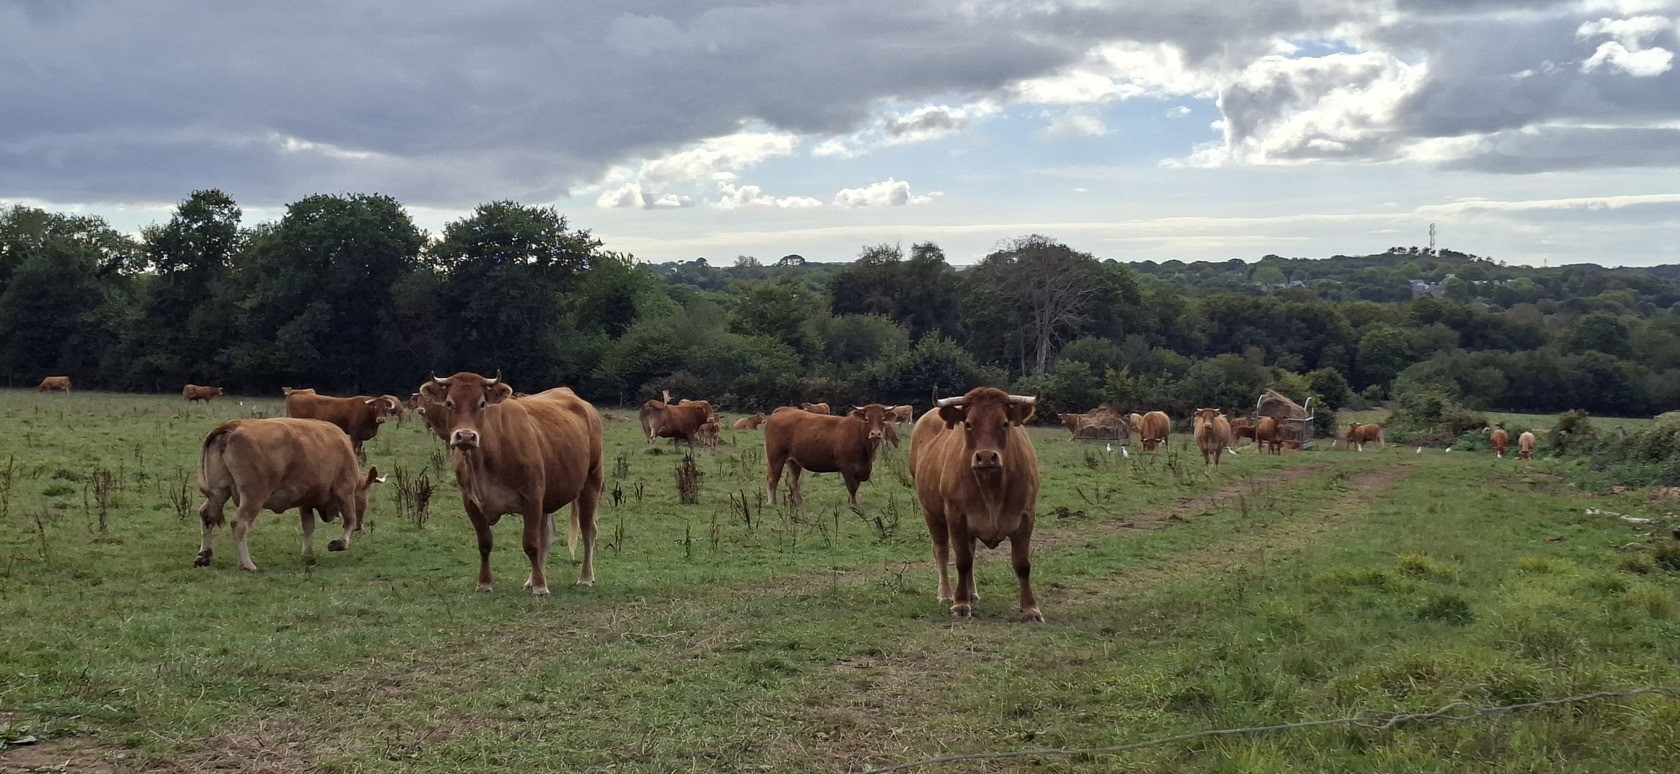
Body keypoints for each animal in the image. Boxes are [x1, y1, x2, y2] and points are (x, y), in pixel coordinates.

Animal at [194, 418, 383, 571]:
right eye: (364, 499)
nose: (361, 527)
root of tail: (232, 426)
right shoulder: (345, 491)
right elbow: (349, 520)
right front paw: (340, 543)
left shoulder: (306, 501)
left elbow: (308, 527)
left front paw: (308, 555)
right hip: (253, 497)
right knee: (239, 524)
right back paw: (247, 564)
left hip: (219, 491)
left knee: (207, 515)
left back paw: (204, 555)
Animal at [419, 371, 603, 595]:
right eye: (449, 403)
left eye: (482, 404)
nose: (466, 436)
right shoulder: (470, 502)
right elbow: (485, 543)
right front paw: (485, 582)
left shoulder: (532, 497)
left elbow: (531, 544)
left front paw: (540, 586)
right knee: (548, 535)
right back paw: (532, 578)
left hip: (591, 481)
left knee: (588, 530)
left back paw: (585, 577)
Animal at [764, 404, 892, 506]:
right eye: (866, 419)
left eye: (883, 419)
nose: (876, 433)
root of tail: (783, 410)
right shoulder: (846, 467)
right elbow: (852, 486)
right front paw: (853, 505)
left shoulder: (861, 469)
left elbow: (856, 486)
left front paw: (850, 501)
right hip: (775, 458)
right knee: (772, 479)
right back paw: (772, 502)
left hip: (793, 461)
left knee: (792, 481)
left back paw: (799, 501)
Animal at [909, 388, 1043, 622]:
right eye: (969, 424)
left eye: (1005, 423)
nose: (986, 457)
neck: (992, 491)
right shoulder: (956, 517)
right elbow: (962, 561)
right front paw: (960, 604)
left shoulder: (1027, 517)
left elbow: (1022, 564)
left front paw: (1030, 608)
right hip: (931, 514)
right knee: (941, 551)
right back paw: (946, 593)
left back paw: (972, 592)